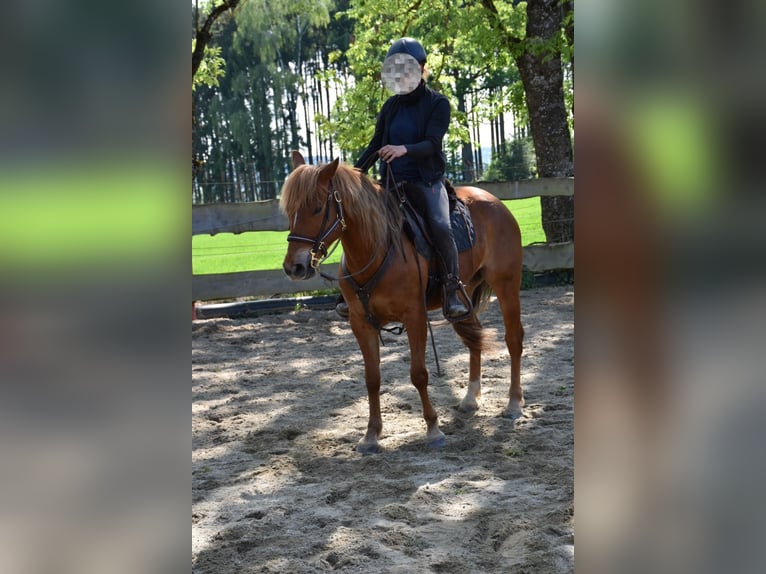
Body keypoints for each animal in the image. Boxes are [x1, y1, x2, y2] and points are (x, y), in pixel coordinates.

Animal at [280, 151, 524, 453]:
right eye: (290, 210)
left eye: (315, 208)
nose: (294, 267)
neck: (377, 247)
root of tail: (496, 203)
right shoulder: (360, 323)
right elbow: (372, 378)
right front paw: (371, 434)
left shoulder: (415, 316)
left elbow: (418, 374)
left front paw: (433, 429)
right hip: (463, 297)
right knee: (473, 339)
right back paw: (470, 398)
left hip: (507, 285)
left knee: (514, 339)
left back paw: (513, 403)